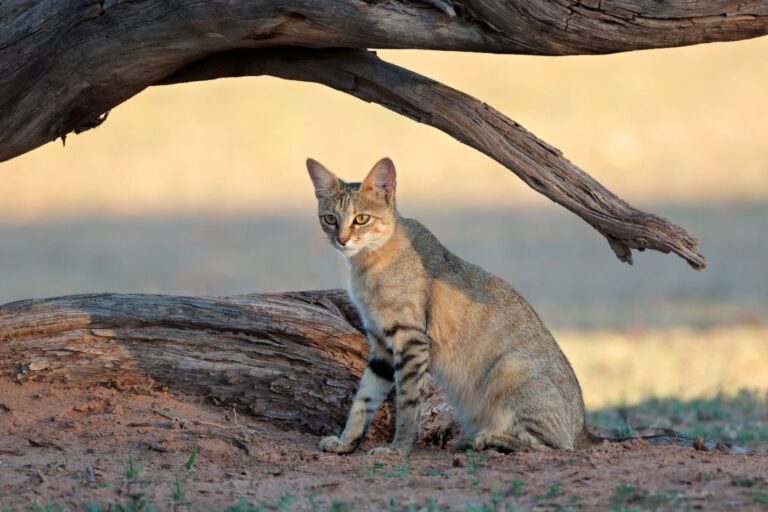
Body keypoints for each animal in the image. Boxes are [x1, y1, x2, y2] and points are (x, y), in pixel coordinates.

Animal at [306, 157, 592, 456]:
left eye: (361, 219)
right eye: (330, 219)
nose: (342, 240)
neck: (366, 265)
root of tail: (582, 431)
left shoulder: (411, 339)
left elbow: (408, 403)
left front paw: (399, 449)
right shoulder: (381, 345)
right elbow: (363, 400)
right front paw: (346, 442)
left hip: (511, 367)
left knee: (554, 446)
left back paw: (485, 439)